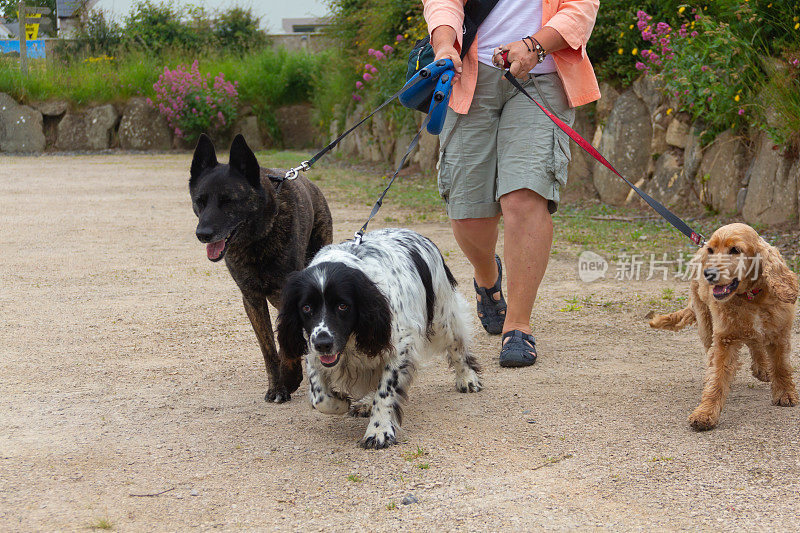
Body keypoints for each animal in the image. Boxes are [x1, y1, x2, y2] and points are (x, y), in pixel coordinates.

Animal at [190, 135, 332, 402]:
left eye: (228, 201)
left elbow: (285, 340)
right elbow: (269, 349)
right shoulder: (252, 300)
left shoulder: (288, 296)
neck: (257, 239)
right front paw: (278, 386)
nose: (203, 234)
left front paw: (291, 377)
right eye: (200, 201)